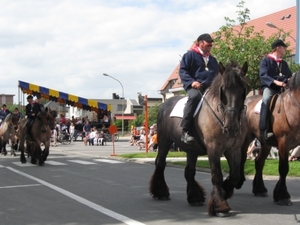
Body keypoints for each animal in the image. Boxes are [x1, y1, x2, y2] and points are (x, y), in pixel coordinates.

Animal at [149, 61, 248, 216]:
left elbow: (235, 176)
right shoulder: (213, 149)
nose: (231, 127)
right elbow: (217, 176)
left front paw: (225, 190)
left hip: (192, 150)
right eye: (223, 90)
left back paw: (194, 197)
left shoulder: (234, 150)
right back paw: (161, 192)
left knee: (189, 171)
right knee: (160, 163)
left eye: (243, 90)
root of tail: (164, 104)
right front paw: (219, 205)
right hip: (165, 141)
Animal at [240, 70, 300, 206]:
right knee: (242, 158)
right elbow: (283, 168)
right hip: (245, 138)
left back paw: (260, 189)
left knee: (259, 162)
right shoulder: (284, 142)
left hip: (265, 143)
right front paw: (282, 196)